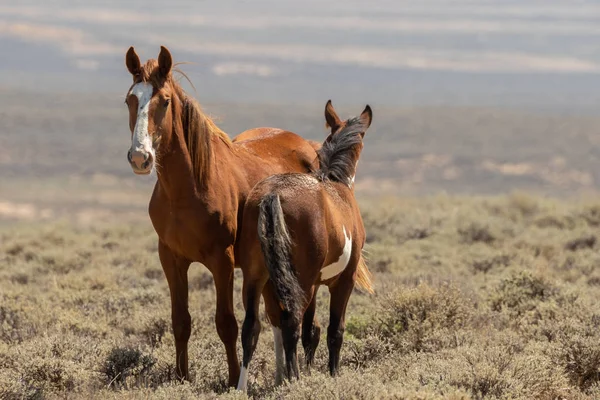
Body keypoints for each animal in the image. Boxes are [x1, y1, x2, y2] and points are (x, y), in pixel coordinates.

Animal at [122, 45, 324, 386]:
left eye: (164, 100)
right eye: (129, 100)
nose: (140, 157)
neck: (187, 189)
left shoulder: (223, 261)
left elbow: (226, 323)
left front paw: (231, 380)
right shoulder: (171, 258)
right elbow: (181, 321)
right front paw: (182, 378)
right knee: (278, 316)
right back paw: (281, 375)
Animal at [236, 106, 372, 390]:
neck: (337, 185)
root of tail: (272, 193)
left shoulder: (315, 284)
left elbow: (311, 331)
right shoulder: (343, 281)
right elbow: (334, 330)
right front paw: (332, 374)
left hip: (256, 278)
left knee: (251, 326)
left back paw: (242, 388)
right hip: (301, 282)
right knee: (291, 324)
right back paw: (294, 379)